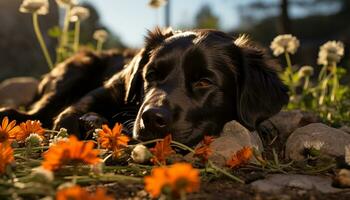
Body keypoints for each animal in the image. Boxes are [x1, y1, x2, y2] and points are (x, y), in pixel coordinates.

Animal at [0, 28, 288, 146]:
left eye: (204, 82)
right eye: (151, 74)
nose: (151, 118)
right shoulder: (106, 90)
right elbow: (67, 117)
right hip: (77, 68)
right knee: (32, 113)